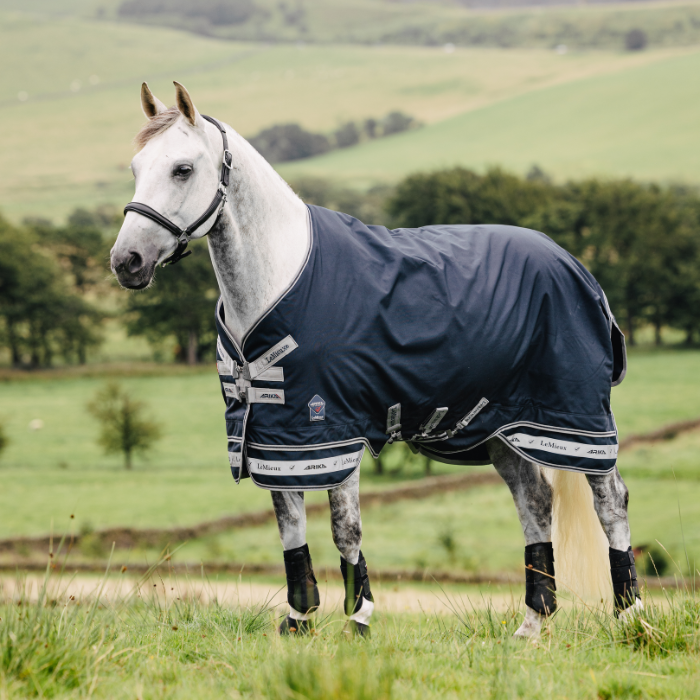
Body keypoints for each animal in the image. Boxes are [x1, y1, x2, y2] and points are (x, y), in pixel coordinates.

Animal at [111, 81, 642, 638]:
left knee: (611, 500)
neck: (278, 277)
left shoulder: (332, 430)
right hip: (502, 427)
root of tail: (574, 265)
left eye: (183, 169)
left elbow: (346, 528)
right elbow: (289, 526)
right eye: (136, 167)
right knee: (535, 503)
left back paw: (630, 615)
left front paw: (359, 617)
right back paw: (532, 623)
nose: (126, 262)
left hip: (579, 417)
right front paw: (299, 618)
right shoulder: (277, 436)